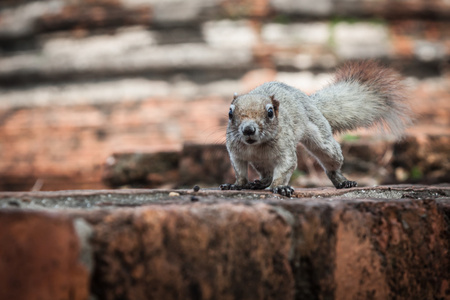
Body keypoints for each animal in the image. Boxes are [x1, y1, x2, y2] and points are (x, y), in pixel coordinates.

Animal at [220, 61, 414, 197]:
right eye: (230, 113)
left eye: (270, 113)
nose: (248, 130)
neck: (256, 146)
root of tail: (310, 101)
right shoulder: (236, 153)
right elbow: (240, 171)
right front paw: (236, 185)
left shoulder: (285, 151)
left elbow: (285, 169)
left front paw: (280, 187)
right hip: (261, 162)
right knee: (266, 174)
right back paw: (258, 183)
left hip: (323, 141)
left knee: (331, 163)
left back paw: (343, 181)